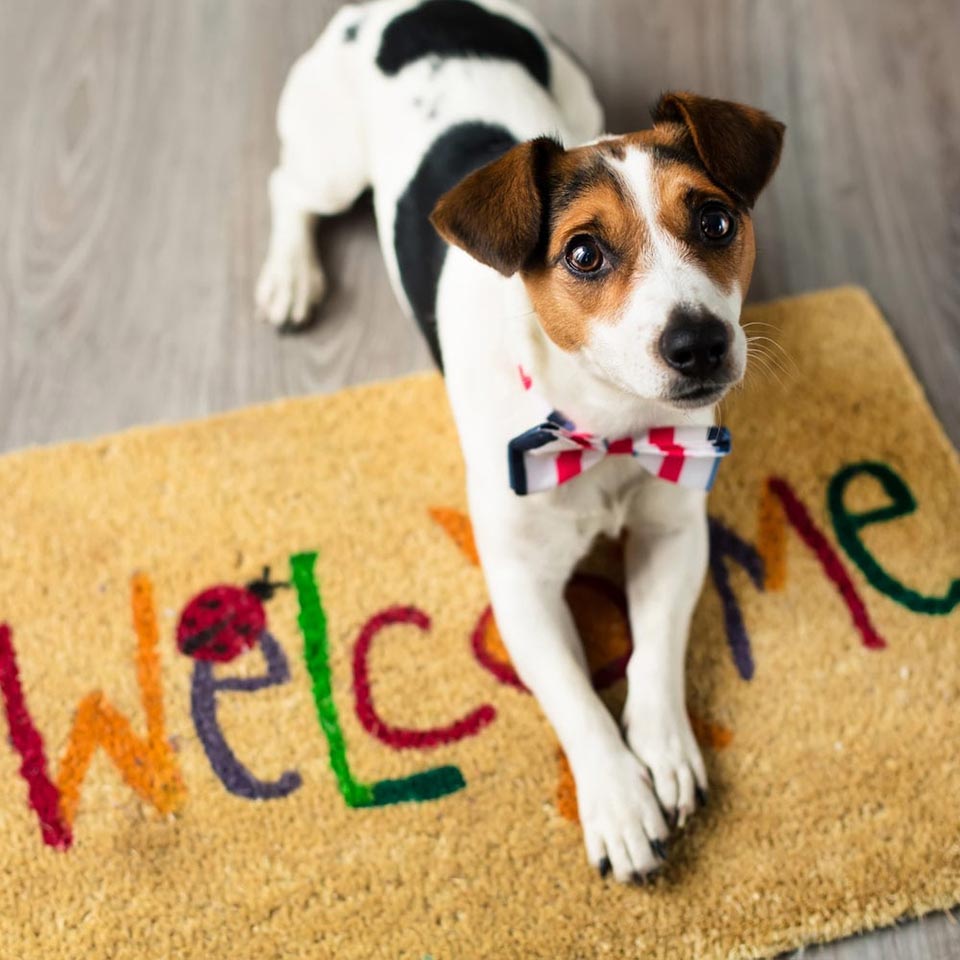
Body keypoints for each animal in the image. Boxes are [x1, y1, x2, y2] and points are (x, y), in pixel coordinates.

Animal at [258, 0, 784, 884]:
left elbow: (654, 649)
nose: (701, 343)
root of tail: (403, 10)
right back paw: (290, 274)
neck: (607, 426)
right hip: (331, 162)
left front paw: (665, 746)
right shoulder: (520, 588)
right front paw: (618, 800)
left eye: (716, 221)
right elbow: (575, 697)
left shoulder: (674, 534)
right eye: (583, 252)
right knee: (289, 189)